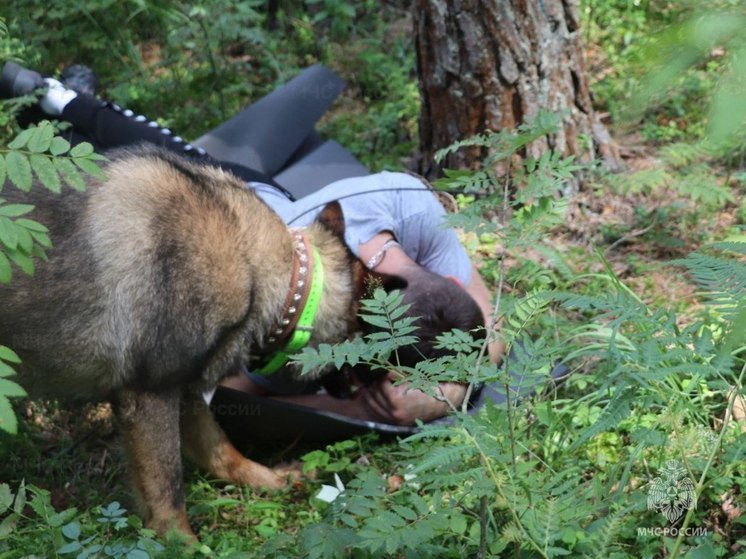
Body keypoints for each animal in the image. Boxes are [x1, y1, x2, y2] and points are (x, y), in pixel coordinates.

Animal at [0, 147, 386, 540]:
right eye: (360, 344)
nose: (376, 384)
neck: (256, 265)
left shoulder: (186, 393)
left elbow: (222, 450)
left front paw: (266, 480)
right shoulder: (149, 396)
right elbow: (168, 487)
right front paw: (180, 542)